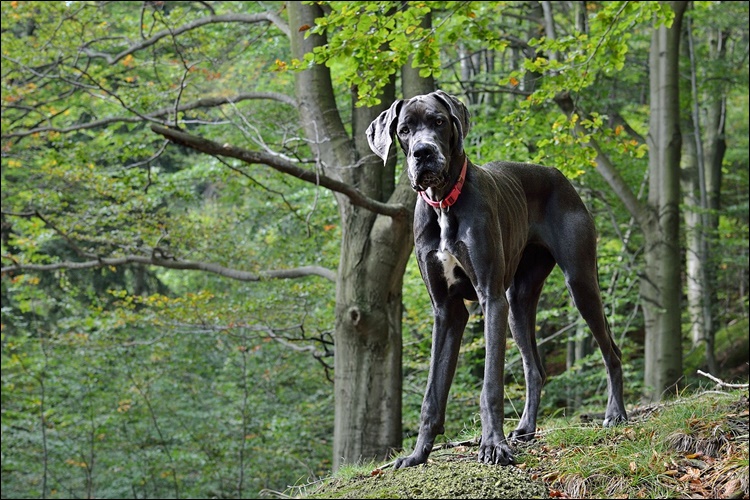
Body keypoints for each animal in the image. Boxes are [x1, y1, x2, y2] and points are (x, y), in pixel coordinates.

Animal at [368, 91, 628, 468]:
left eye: (438, 122)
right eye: (404, 130)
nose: (423, 153)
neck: (444, 204)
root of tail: (559, 175)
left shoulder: (491, 298)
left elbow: (490, 384)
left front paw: (493, 445)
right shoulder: (447, 311)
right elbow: (433, 392)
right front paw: (417, 454)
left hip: (580, 283)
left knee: (611, 352)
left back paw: (615, 414)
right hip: (518, 303)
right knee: (535, 369)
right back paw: (527, 428)